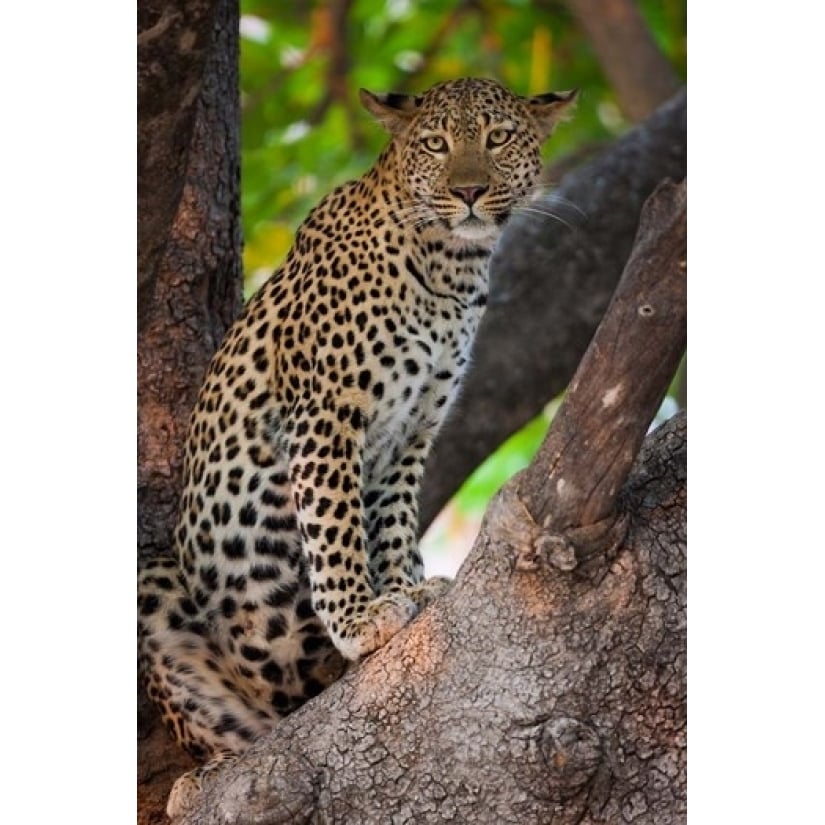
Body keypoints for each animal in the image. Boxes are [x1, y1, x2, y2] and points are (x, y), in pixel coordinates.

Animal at [137, 77, 572, 816]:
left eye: (497, 138)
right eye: (436, 144)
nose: (469, 191)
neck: (451, 268)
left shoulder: (413, 432)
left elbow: (389, 523)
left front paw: (404, 588)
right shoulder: (327, 414)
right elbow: (334, 524)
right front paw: (360, 620)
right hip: (161, 585)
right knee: (246, 722)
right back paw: (207, 773)